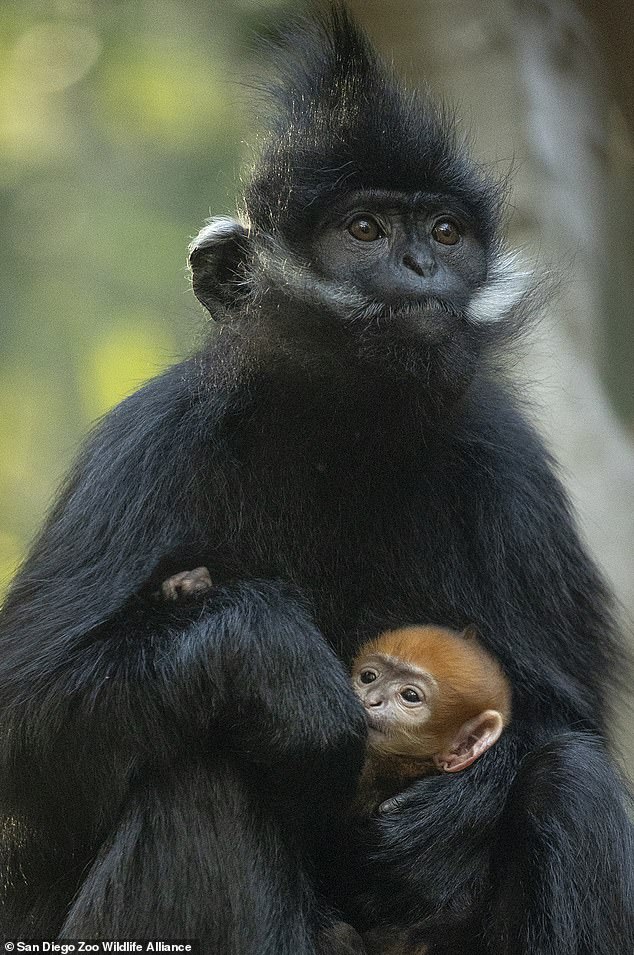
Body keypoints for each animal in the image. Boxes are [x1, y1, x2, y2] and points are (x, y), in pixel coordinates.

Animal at [1, 7, 632, 955]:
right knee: (200, 781)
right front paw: (274, 658)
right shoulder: (149, 446)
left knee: (575, 779)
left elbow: (571, 719)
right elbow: (23, 738)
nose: (421, 270)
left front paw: (455, 812)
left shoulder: (506, 465)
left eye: (444, 234)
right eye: (364, 230)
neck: (342, 437)